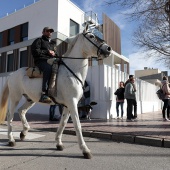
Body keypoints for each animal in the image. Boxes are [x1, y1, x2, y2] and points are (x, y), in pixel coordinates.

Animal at [0, 25, 111, 159]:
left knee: (21, 111)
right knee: (10, 116)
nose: (108, 49)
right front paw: (85, 150)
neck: (71, 71)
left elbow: (63, 123)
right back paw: (11, 140)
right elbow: (77, 125)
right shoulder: (72, 103)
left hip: (30, 99)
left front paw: (59, 143)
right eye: (91, 36)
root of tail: (12, 75)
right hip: (15, 97)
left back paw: (24, 133)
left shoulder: (67, 105)